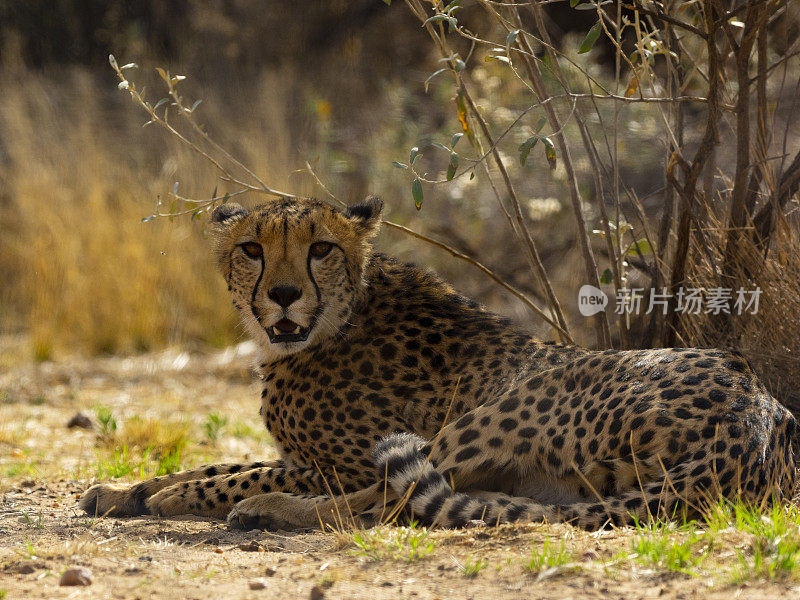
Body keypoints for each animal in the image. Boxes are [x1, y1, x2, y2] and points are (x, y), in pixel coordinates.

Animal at [79, 197, 792, 528]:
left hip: (514, 398)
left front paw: (174, 497)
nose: (282, 294)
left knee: (386, 502)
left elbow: (238, 475)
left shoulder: (337, 462)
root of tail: (756, 422)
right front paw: (122, 491)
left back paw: (269, 512)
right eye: (251, 248)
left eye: (320, 249)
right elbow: (218, 463)